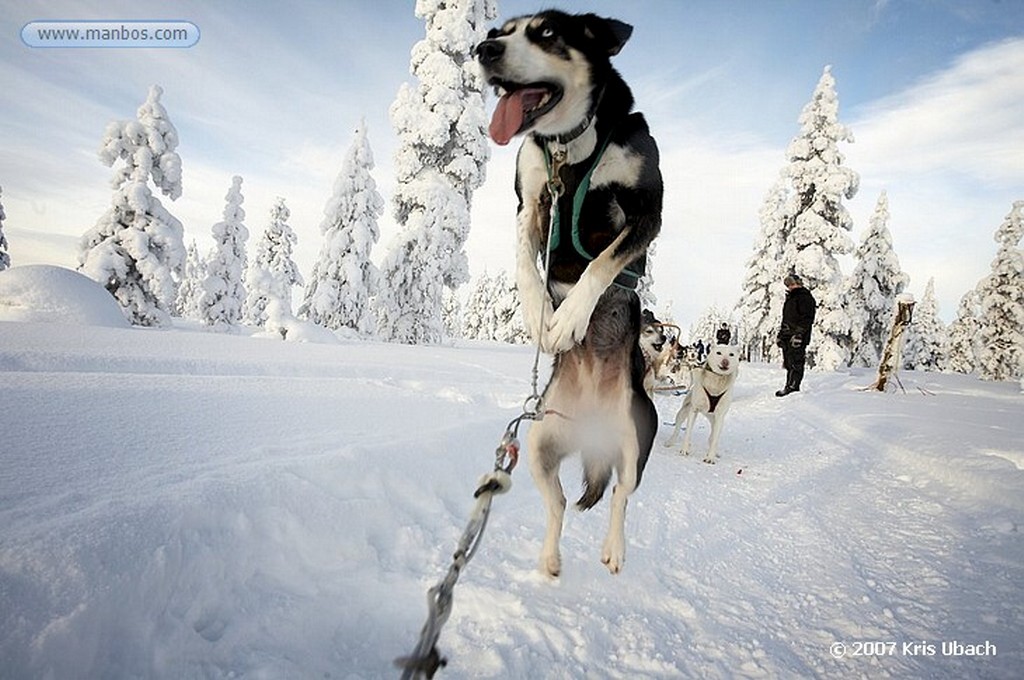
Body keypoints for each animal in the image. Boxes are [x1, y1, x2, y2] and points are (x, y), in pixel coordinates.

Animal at [473, 7, 663, 577]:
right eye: (497, 32)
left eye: (548, 33)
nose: (483, 51)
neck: (570, 148)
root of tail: (590, 431)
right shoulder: (532, 199)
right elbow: (523, 260)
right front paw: (539, 312)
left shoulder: (648, 211)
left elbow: (603, 261)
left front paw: (571, 315)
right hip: (536, 445)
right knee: (556, 504)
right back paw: (550, 558)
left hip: (636, 440)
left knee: (621, 496)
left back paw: (613, 548)